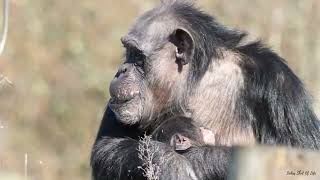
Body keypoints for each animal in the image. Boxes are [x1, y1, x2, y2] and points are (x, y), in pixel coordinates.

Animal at [89, 0, 320, 179]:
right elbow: (106, 147)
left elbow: (303, 154)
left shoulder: (280, 85)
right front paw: (167, 161)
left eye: (138, 56)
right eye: (128, 52)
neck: (193, 82)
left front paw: (191, 158)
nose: (121, 70)